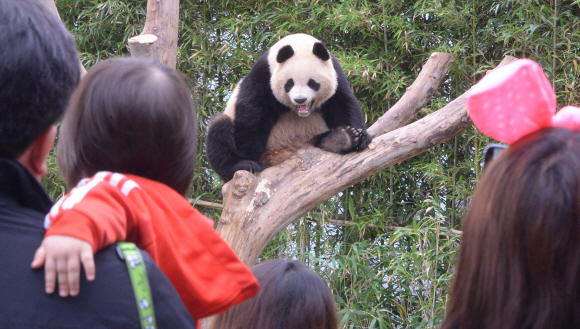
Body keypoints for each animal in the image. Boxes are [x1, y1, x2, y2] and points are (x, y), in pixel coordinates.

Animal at [208, 32, 372, 182]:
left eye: (312, 83)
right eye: (289, 83)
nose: (300, 99)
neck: (298, 43)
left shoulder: (336, 72)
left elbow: (342, 103)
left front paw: (358, 136)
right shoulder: (263, 74)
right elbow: (252, 112)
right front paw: (250, 158)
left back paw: (341, 139)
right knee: (219, 131)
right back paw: (243, 165)